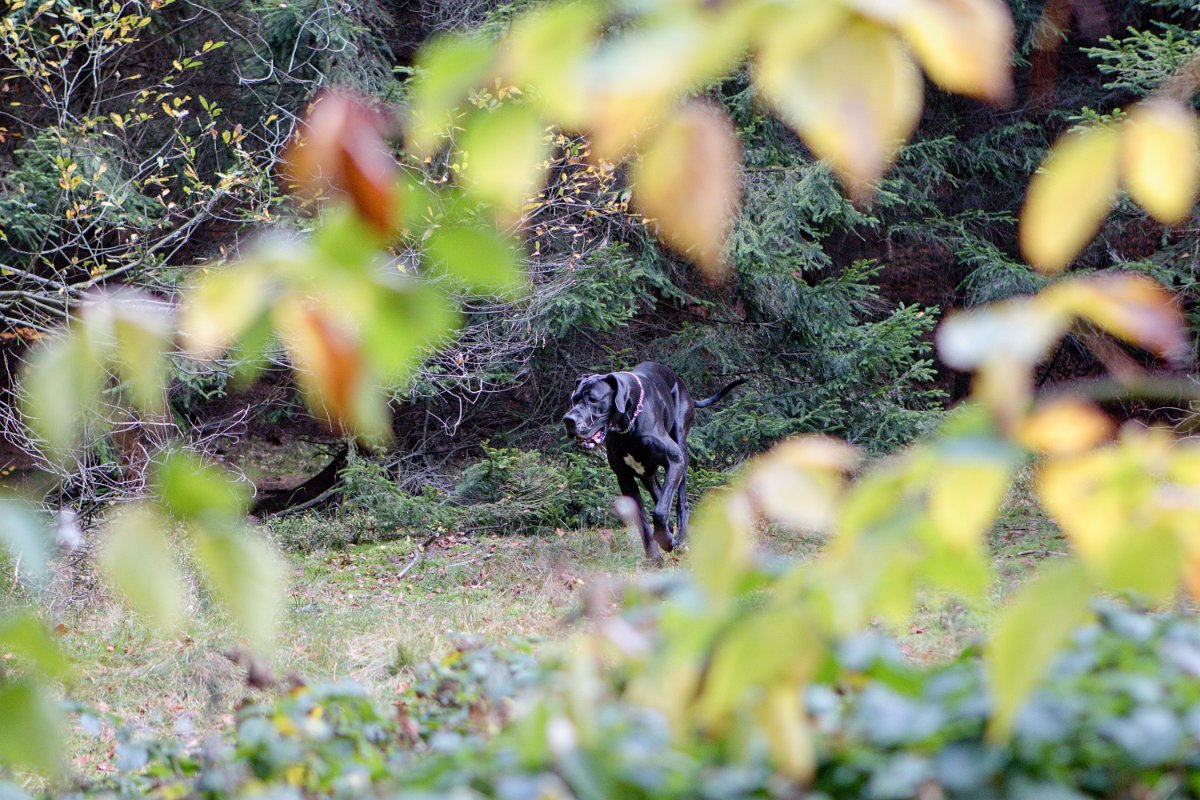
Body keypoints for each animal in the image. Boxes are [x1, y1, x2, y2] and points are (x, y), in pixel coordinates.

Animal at [564, 362, 748, 563]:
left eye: (593, 400)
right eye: (574, 399)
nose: (568, 420)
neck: (629, 423)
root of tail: (678, 380)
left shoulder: (674, 460)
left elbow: (659, 512)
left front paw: (667, 541)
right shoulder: (625, 478)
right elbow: (643, 520)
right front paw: (653, 556)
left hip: (681, 448)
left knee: (680, 502)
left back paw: (683, 539)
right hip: (647, 474)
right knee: (660, 494)